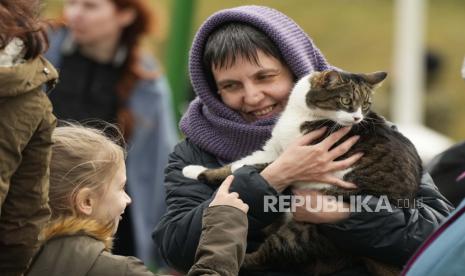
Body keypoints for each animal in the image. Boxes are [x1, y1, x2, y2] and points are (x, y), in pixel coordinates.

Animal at [183, 69, 422, 274]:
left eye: (365, 104)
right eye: (346, 101)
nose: (357, 119)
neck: (302, 113)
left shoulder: (298, 160)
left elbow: (252, 167)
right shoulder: (275, 149)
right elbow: (239, 163)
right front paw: (194, 170)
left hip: (311, 229)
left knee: (268, 255)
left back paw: (225, 261)